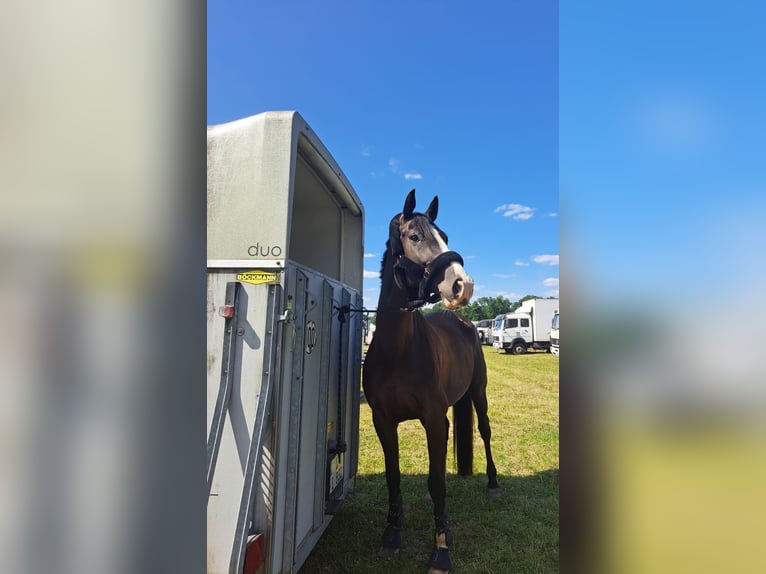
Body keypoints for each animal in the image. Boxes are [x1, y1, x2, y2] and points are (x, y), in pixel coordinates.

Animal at [362, 189, 500, 573]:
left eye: (445, 236)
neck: (397, 351)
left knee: (484, 431)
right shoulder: (383, 421)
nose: (462, 285)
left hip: (478, 393)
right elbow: (393, 476)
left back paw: (493, 484)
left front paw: (441, 547)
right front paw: (392, 533)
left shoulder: (433, 419)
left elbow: (439, 483)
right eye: (414, 236)